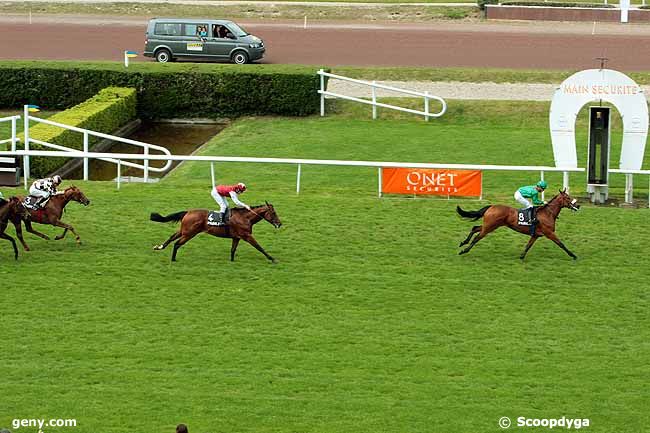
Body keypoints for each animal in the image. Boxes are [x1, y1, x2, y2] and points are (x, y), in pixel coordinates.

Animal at [152, 203, 284, 264]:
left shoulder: (236, 237)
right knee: (177, 244)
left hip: (184, 231)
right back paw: (173, 259)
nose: (279, 223)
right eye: (273, 213)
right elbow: (259, 247)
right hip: (189, 233)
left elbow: (233, 250)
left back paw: (159, 247)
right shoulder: (247, 236)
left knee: (172, 237)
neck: (245, 217)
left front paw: (232, 261)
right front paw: (272, 259)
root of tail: (187, 212)